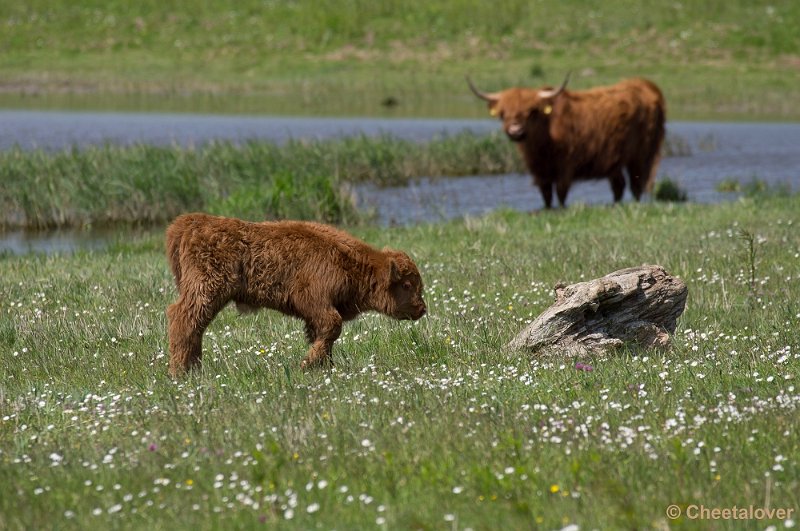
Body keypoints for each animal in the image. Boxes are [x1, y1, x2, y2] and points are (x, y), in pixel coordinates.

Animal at [163, 214, 424, 376]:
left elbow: (323, 335)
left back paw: (194, 369)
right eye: (407, 285)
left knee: (195, 327)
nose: (422, 308)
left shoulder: (315, 314)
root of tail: (191, 223)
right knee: (183, 319)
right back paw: (179, 372)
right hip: (207, 291)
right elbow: (332, 327)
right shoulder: (315, 302)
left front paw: (324, 367)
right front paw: (307, 364)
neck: (351, 262)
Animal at [466, 75, 664, 208]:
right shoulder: (539, 171)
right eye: (503, 114)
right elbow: (546, 194)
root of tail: (644, 84)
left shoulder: (566, 165)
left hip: (641, 154)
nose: (516, 131)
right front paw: (547, 209)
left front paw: (561, 209)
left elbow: (561, 192)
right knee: (619, 185)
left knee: (636, 184)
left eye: (532, 112)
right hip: (615, 161)